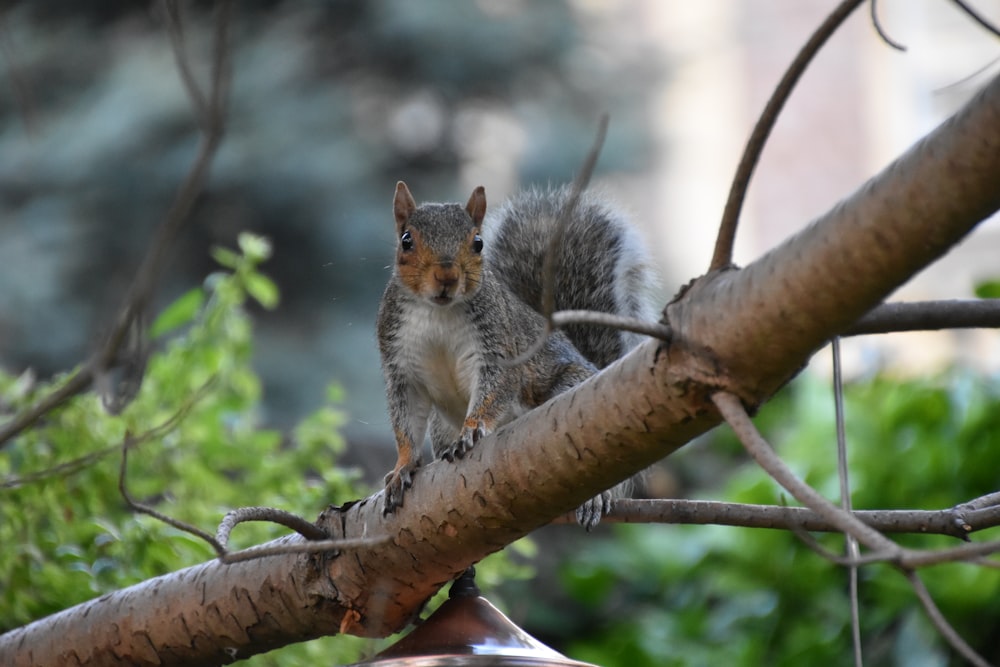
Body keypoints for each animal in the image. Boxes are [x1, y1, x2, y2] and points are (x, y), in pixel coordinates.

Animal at [376, 180, 656, 528]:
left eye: (478, 243)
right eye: (407, 241)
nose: (446, 278)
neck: (437, 313)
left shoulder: (497, 347)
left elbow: (496, 388)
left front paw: (472, 429)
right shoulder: (399, 364)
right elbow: (406, 420)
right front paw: (403, 466)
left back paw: (596, 496)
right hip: (441, 426)